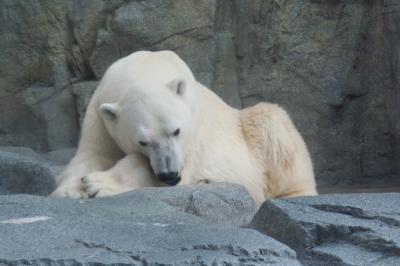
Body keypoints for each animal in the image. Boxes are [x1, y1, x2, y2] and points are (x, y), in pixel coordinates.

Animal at [51, 50, 318, 204]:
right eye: (142, 141)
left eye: (176, 131)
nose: (170, 175)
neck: (146, 67)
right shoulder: (100, 111)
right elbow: (91, 155)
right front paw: (69, 190)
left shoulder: (192, 132)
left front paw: (98, 184)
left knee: (271, 121)